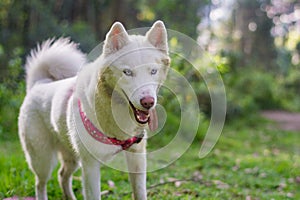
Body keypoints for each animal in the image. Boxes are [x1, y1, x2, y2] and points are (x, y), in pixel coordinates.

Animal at [18, 20, 169, 200]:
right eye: (127, 72)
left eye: (153, 71)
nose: (148, 102)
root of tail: (39, 84)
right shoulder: (90, 166)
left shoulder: (137, 158)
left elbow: (139, 192)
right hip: (43, 160)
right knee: (40, 184)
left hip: (72, 158)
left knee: (62, 175)